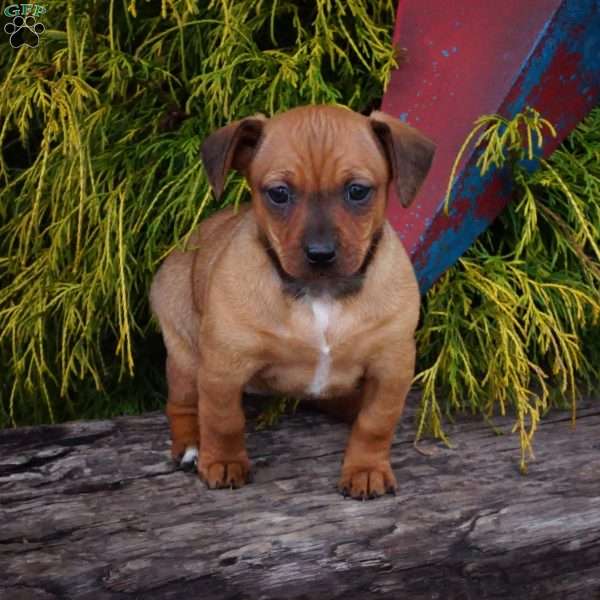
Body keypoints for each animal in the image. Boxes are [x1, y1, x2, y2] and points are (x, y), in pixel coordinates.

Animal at [148, 105, 434, 500]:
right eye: (279, 194)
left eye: (358, 191)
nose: (320, 253)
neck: (320, 293)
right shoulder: (223, 366)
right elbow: (222, 420)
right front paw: (222, 461)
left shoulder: (391, 368)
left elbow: (375, 424)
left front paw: (365, 469)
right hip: (185, 354)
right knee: (183, 404)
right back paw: (193, 446)